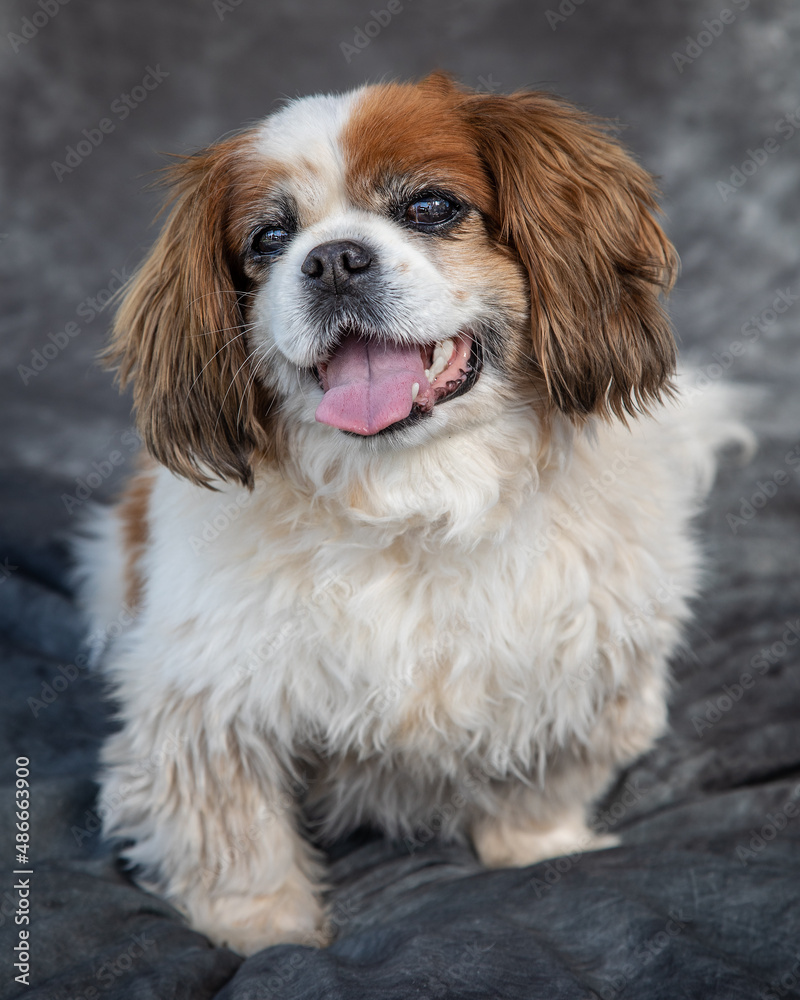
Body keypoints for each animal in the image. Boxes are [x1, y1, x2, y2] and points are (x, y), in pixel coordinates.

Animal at [79, 72, 736, 952]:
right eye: (269, 239)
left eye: (429, 207)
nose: (331, 259)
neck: (412, 493)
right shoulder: (206, 707)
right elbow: (239, 841)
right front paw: (266, 937)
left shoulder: (584, 672)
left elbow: (545, 783)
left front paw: (537, 849)